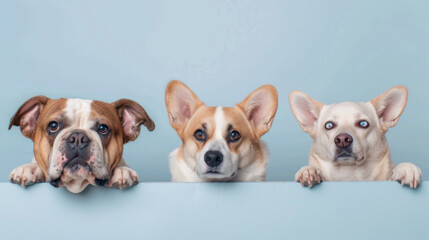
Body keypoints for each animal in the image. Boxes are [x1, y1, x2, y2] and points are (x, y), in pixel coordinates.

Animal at [290, 86, 420, 188]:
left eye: (363, 123)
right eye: (329, 125)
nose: (342, 139)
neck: (349, 176)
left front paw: (405, 168)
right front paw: (308, 171)